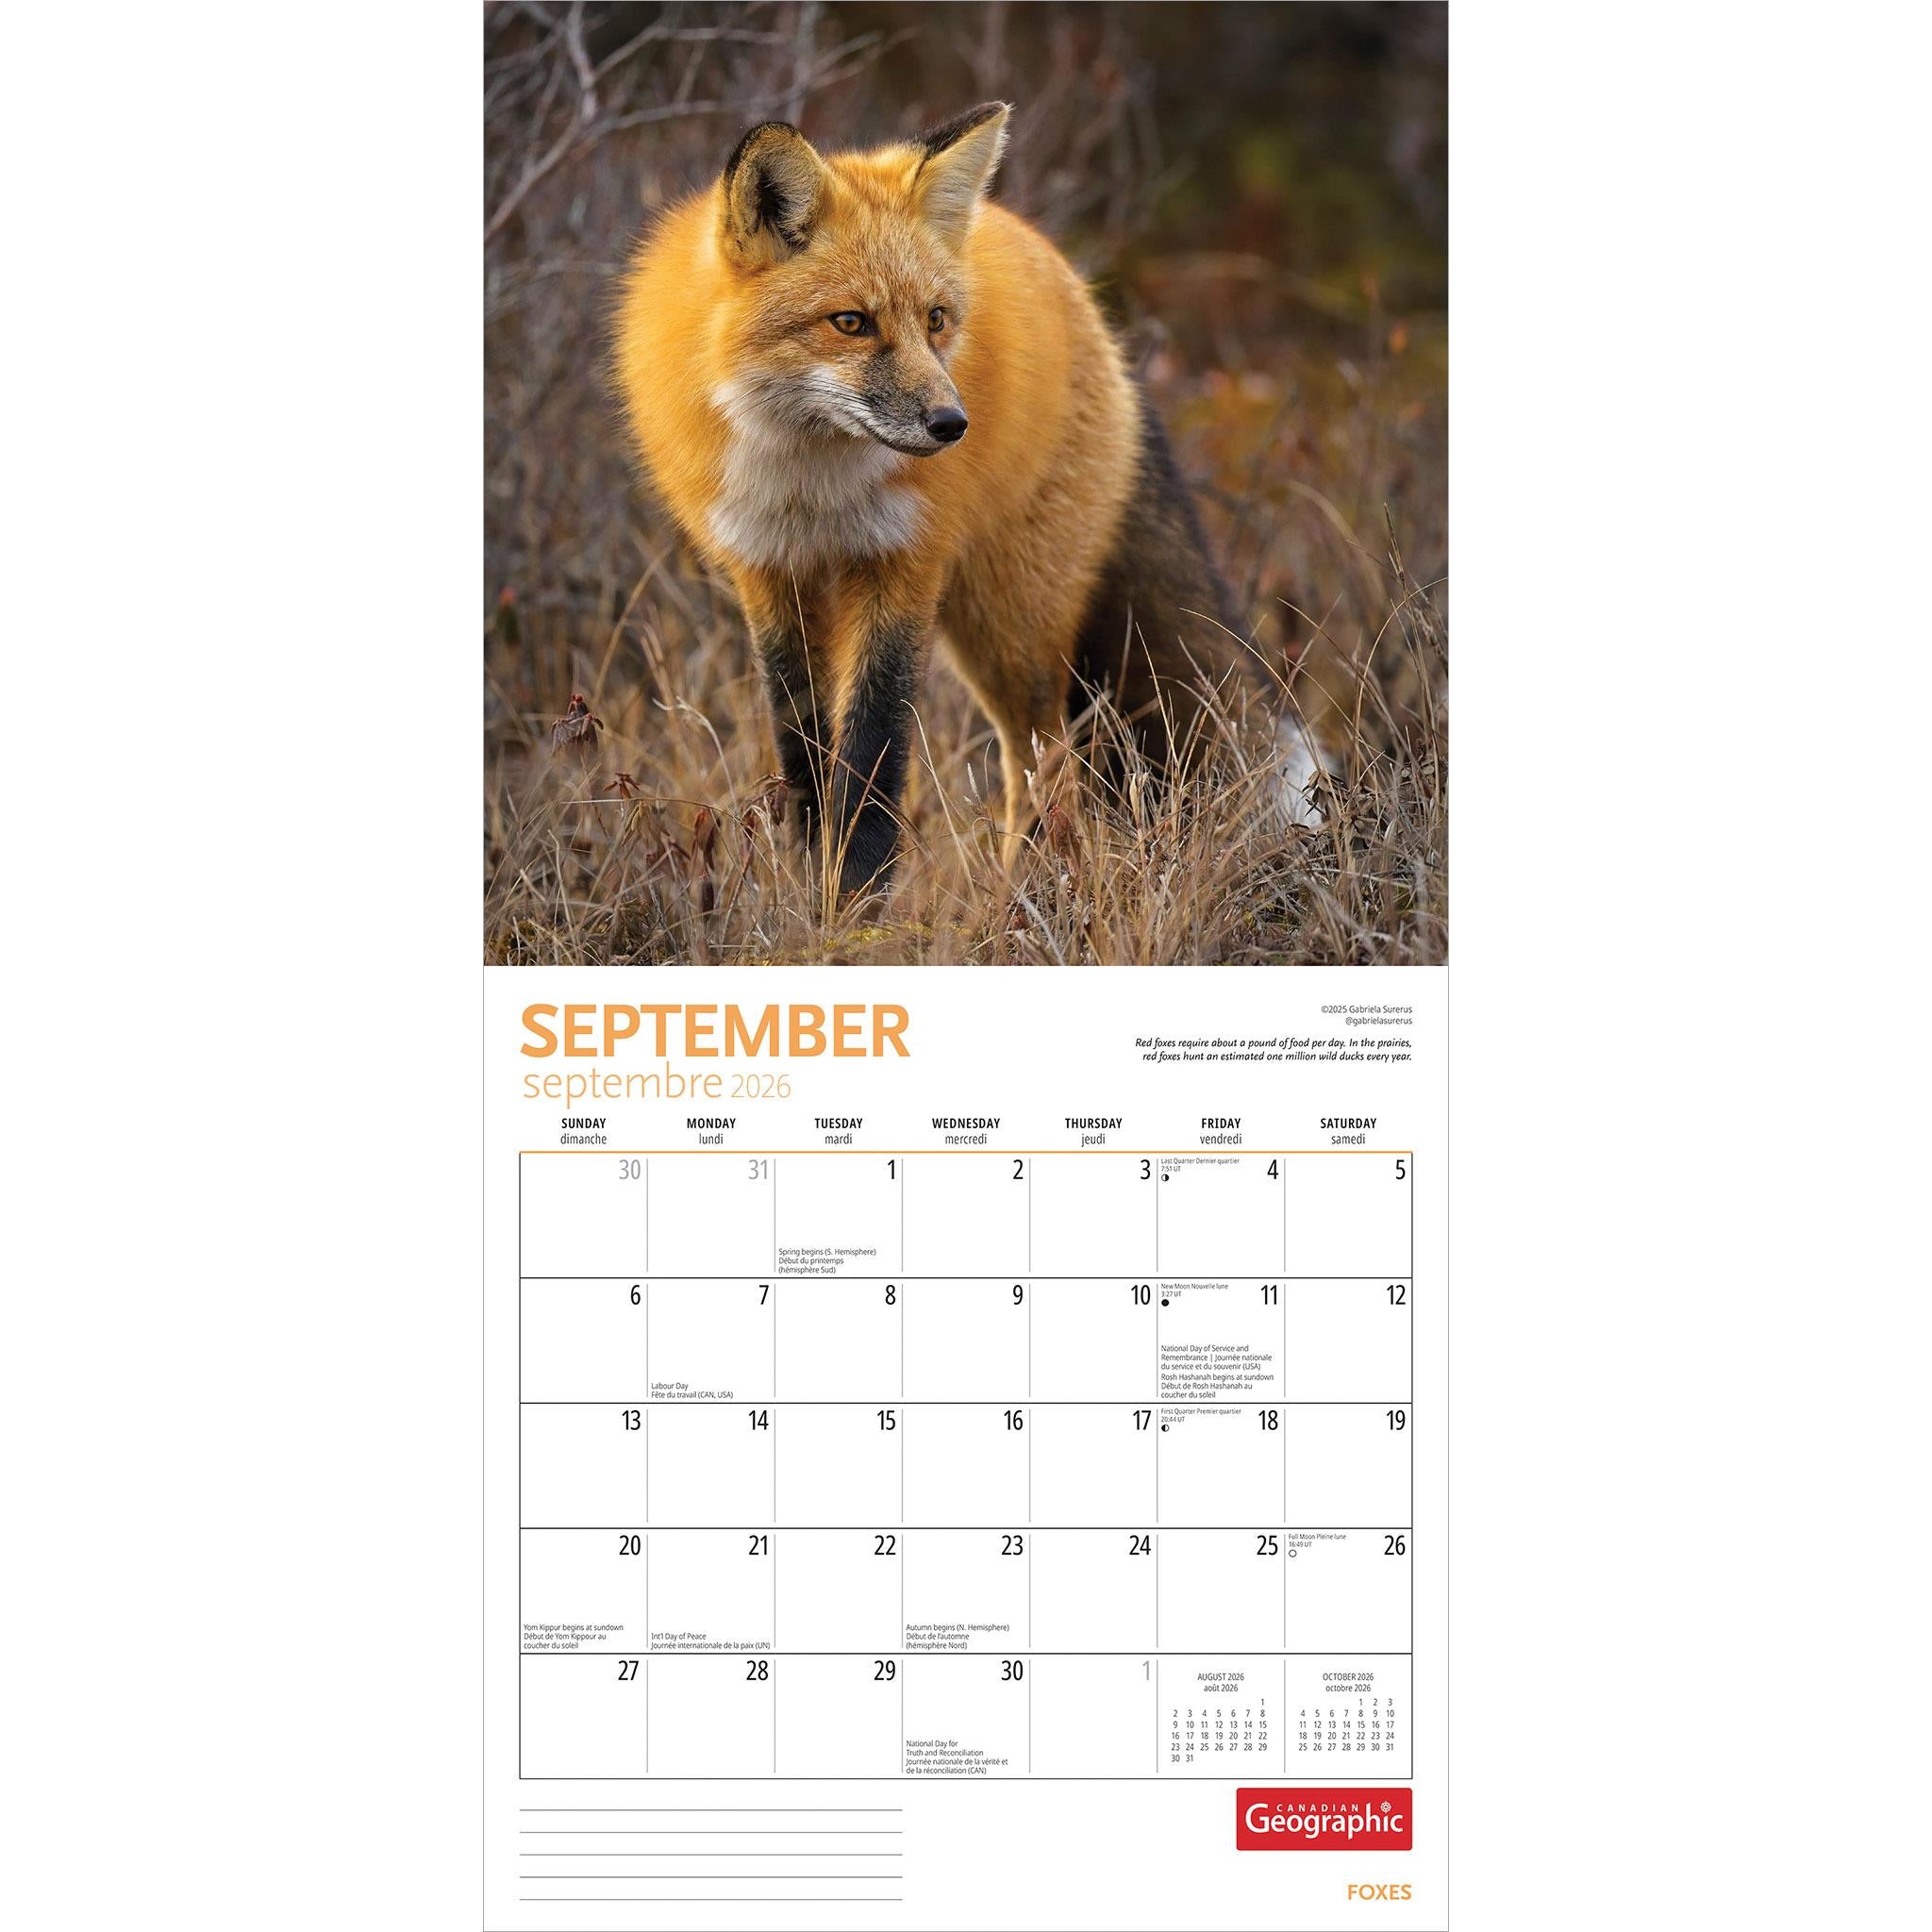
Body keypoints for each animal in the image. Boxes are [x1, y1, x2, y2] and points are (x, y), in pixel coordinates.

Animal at [615, 100, 1284, 897]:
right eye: (851, 322)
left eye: (935, 318)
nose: (951, 425)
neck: (811, 490)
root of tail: (1085, 302)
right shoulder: (770, 576)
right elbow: (804, 749)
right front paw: (813, 885)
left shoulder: (905, 566)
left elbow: (874, 755)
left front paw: (859, 897)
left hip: (1011, 622)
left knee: (1045, 762)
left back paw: (1024, 897)